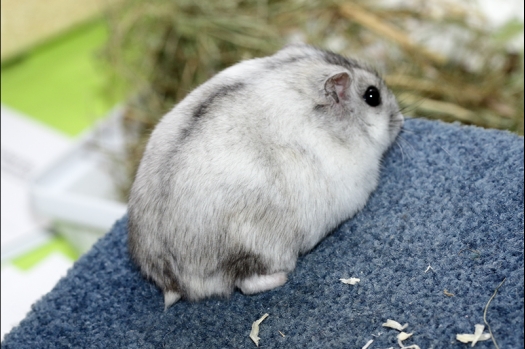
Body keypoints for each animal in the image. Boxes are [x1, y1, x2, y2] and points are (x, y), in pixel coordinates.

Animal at [128, 43, 406, 308]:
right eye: (372, 96)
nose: (402, 119)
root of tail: (172, 279)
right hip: (259, 250)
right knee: (247, 283)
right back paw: (282, 278)